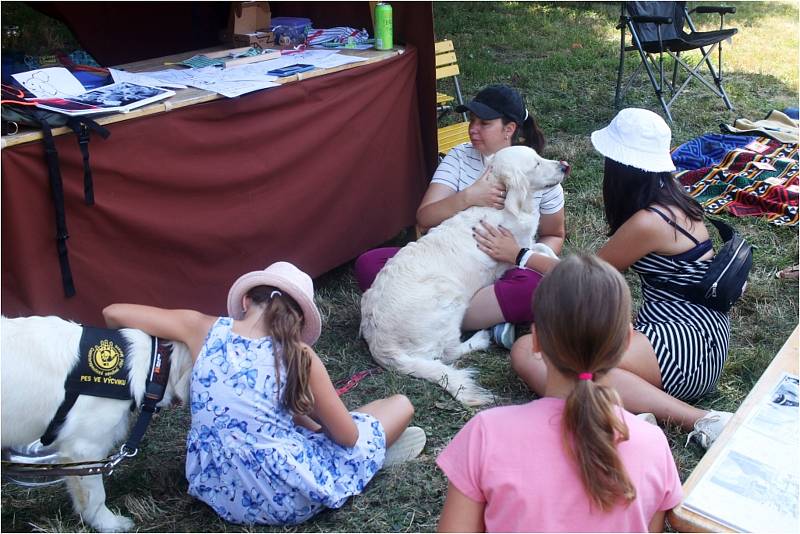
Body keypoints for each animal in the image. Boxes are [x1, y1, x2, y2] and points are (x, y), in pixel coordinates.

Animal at [362, 147, 568, 406]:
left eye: (539, 157)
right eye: (536, 164)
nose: (565, 166)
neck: (505, 205)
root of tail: (380, 344)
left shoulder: (525, 244)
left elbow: (544, 250)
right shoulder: (513, 256)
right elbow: (535, 254)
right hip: (450, 293)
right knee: (448, 352)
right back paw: (480, 339)